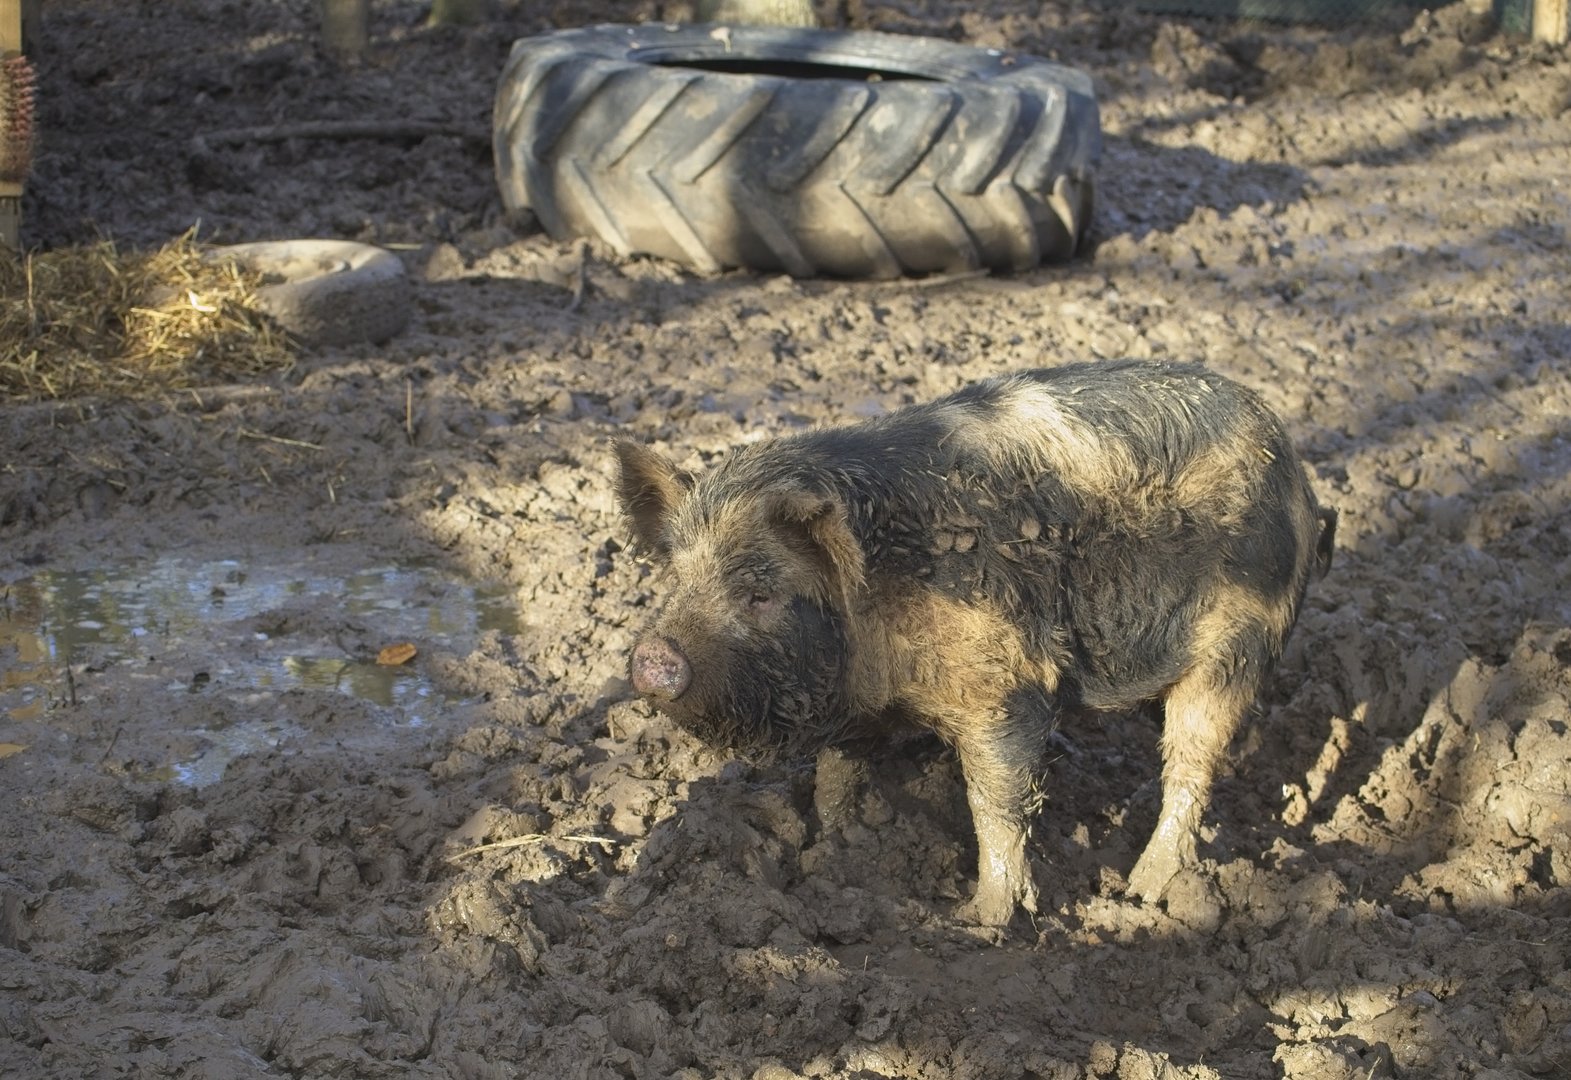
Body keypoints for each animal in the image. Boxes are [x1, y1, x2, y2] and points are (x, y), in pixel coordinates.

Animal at [615, 359, 1336, 926]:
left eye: (759, 593)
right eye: (676, 576)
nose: (652, 657)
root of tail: (1295, 469)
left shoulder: (1007, 686)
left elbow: (994, 801)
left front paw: (981, 919)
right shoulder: (858, 713)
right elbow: (835, 776)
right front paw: (832, 856)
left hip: (1238, 644)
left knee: (1192, 759)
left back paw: (1144, 890)